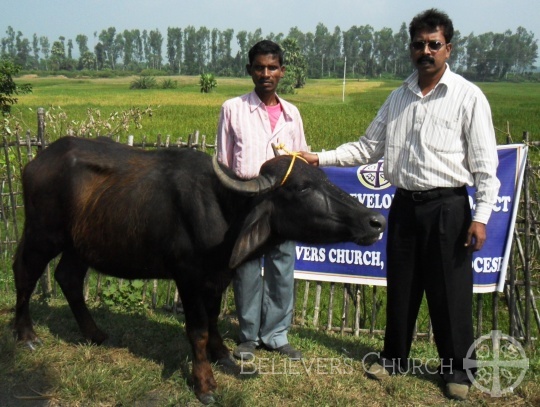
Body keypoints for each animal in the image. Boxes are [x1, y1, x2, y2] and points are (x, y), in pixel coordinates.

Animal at [11, 137, 384, 404]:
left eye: (323, 178)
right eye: (302, 187)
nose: (375, 221)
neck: (225, 210)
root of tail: (37, 162)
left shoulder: (217, 277)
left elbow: (215, 319)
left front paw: (225, 358)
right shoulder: (187, 279)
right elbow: (198, 330)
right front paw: (205, 383)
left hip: (79, 244)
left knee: (68, 278)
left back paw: (95, 334)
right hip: (43, 233)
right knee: (25, 272)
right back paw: (26, 336)